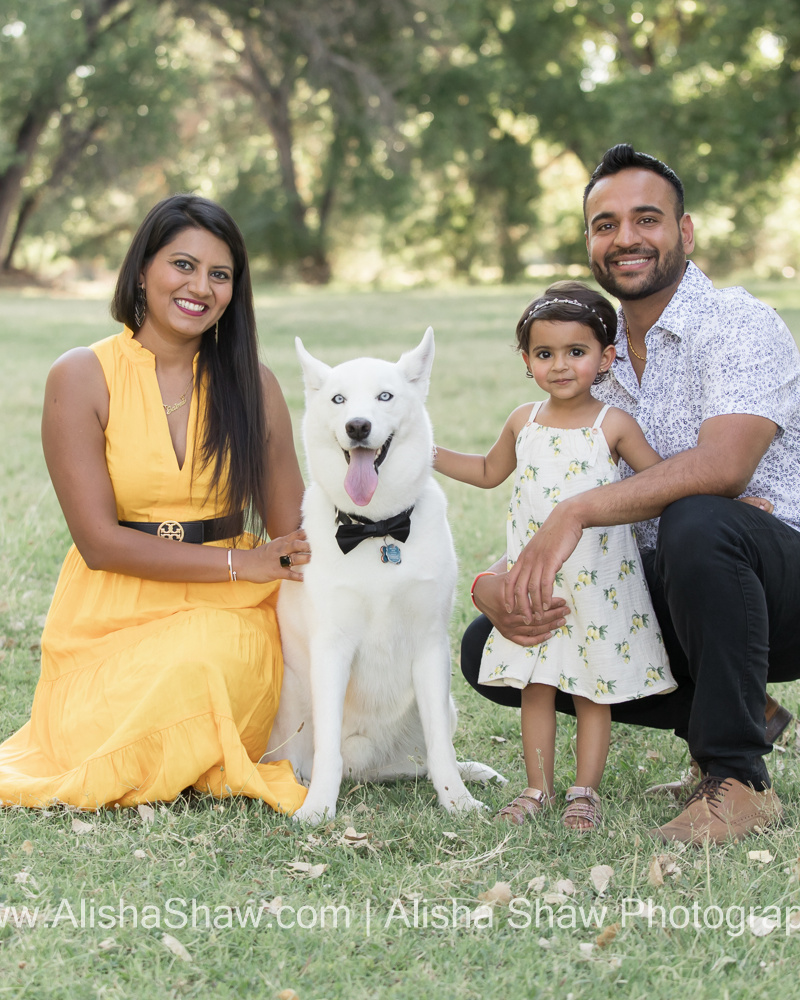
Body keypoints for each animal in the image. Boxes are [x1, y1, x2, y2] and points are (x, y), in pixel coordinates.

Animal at [268, 332, 504, 824]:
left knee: (421, 760)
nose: (358, 426)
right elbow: (327, 752)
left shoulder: (430, 646)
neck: (376, 530)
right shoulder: (331, 648)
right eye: (338, 399)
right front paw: (318, 808)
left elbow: (440, 748)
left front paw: (457, 801)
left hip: (442, 708)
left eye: (385, 396)